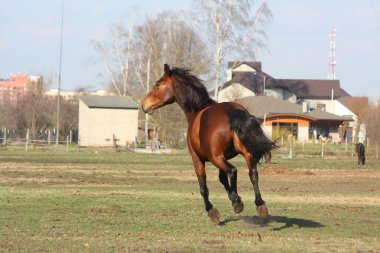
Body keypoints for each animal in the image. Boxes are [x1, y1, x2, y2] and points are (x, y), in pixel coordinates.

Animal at [141, 64, 274, 224]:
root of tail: (233, 111)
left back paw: (237, 202)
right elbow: (222, 179)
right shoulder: (223, 156)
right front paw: (233, 199)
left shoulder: (198, 159)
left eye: (158, 84)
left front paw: (213, 210)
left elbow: (203, 186)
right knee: (252, 174)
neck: (196, 111)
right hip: (245, 154)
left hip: (216, 158)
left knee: (233, 171)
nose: (144, 104)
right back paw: (260, 205)